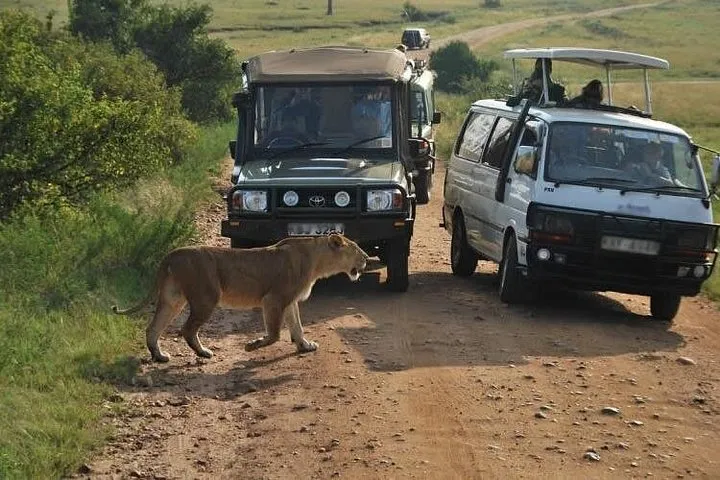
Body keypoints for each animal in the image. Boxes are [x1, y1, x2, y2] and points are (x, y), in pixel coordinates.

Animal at [111, 233, 368, 363]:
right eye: (356, 249)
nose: (367, 258)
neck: (317, 260)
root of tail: (173, 253)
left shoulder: (289, 300)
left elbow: (297, 325)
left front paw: (305, 346)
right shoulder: (273, 298)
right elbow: (275, 334)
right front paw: (252, 346)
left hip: (172, 299)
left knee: (153, 328)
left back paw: (159, 355)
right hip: (206, 297)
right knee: (186, 329)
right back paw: (203, 353)